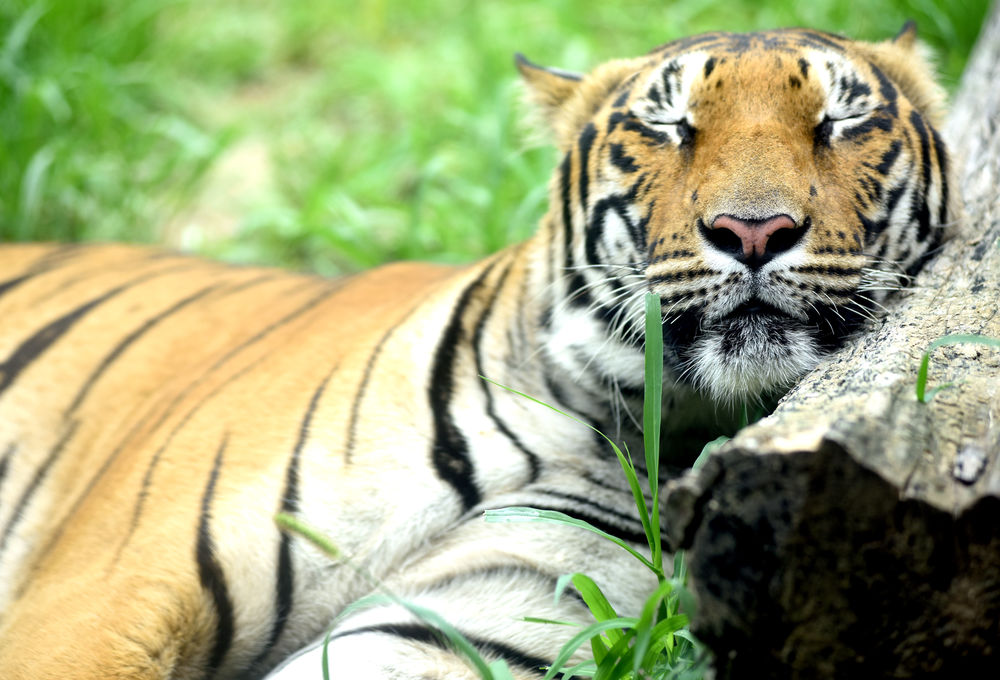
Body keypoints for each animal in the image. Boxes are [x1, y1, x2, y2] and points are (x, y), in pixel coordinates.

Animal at [0, 24, 955, 680]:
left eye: (841, 120)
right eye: (669, 127)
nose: (753, 231)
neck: (609, 420)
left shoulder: (469, 612)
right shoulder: (103, 601)